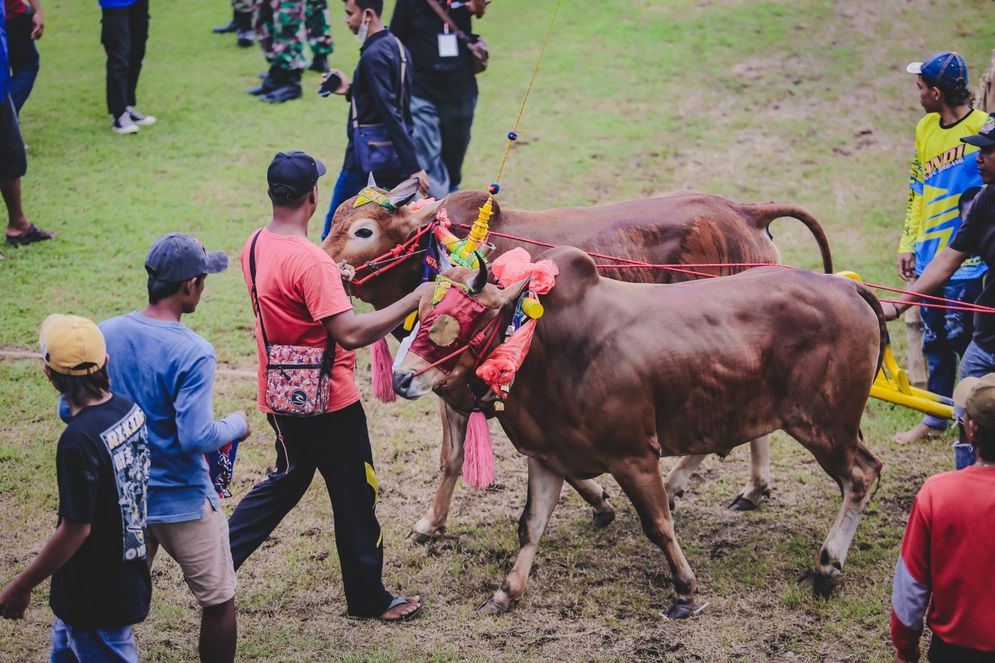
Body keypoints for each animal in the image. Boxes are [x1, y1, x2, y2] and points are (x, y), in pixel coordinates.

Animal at [324, 180, 832, 540]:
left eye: (364, 230)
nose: (323, 263)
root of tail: (746, 212)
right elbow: (462, 456)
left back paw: (690, 484)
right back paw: (752, 488)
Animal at [392, 248, 884, 616]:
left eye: (454, 321)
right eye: (420, 311)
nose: (400, 378)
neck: (542, 345)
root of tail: (845, 286)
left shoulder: (633, 455)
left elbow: (658, 524)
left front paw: (684, 589)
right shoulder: (548, 456)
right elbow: (530, 525)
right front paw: (506, 592)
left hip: (825, 426)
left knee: (862, 476)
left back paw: (827, 567)